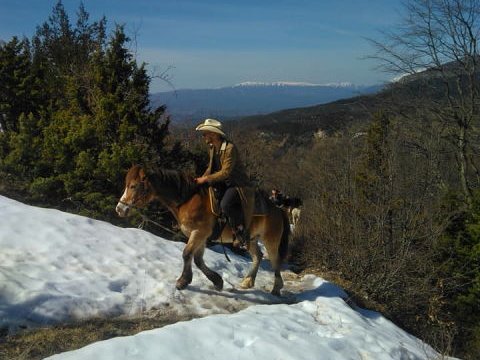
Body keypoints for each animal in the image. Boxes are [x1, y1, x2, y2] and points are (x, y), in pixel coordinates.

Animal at [116, 165, 288, 296]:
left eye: (133, 186)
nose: (119, 209)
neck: (188, 199)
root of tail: (277, 208)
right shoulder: (201, 236)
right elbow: (198, 259)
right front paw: (217, 281)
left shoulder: (199, 232)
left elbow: (187, 254)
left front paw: (182, 281)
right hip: (250, 239)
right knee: (258, 256)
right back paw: (248, 281)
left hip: (270, 240)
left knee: (275, 260)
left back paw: (276, 288)